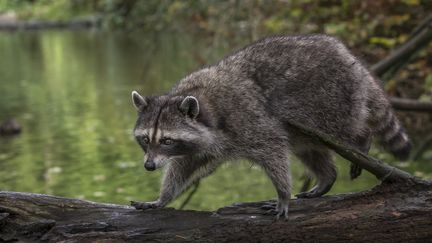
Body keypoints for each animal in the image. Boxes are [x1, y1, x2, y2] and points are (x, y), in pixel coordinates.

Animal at [129, 34, 412, 218]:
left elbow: (273, 149)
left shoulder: (248, 118)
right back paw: (326, 178)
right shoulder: (202, 144)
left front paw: (283, 193)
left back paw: (363, 140)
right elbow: (184, 167)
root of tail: (350, 58)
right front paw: (163, 198)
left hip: (332, 100)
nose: (149, 166)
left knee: (346, 129)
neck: (199, 99)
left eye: (166, 140)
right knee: (308, 149)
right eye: (145, 139)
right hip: (309, 123)